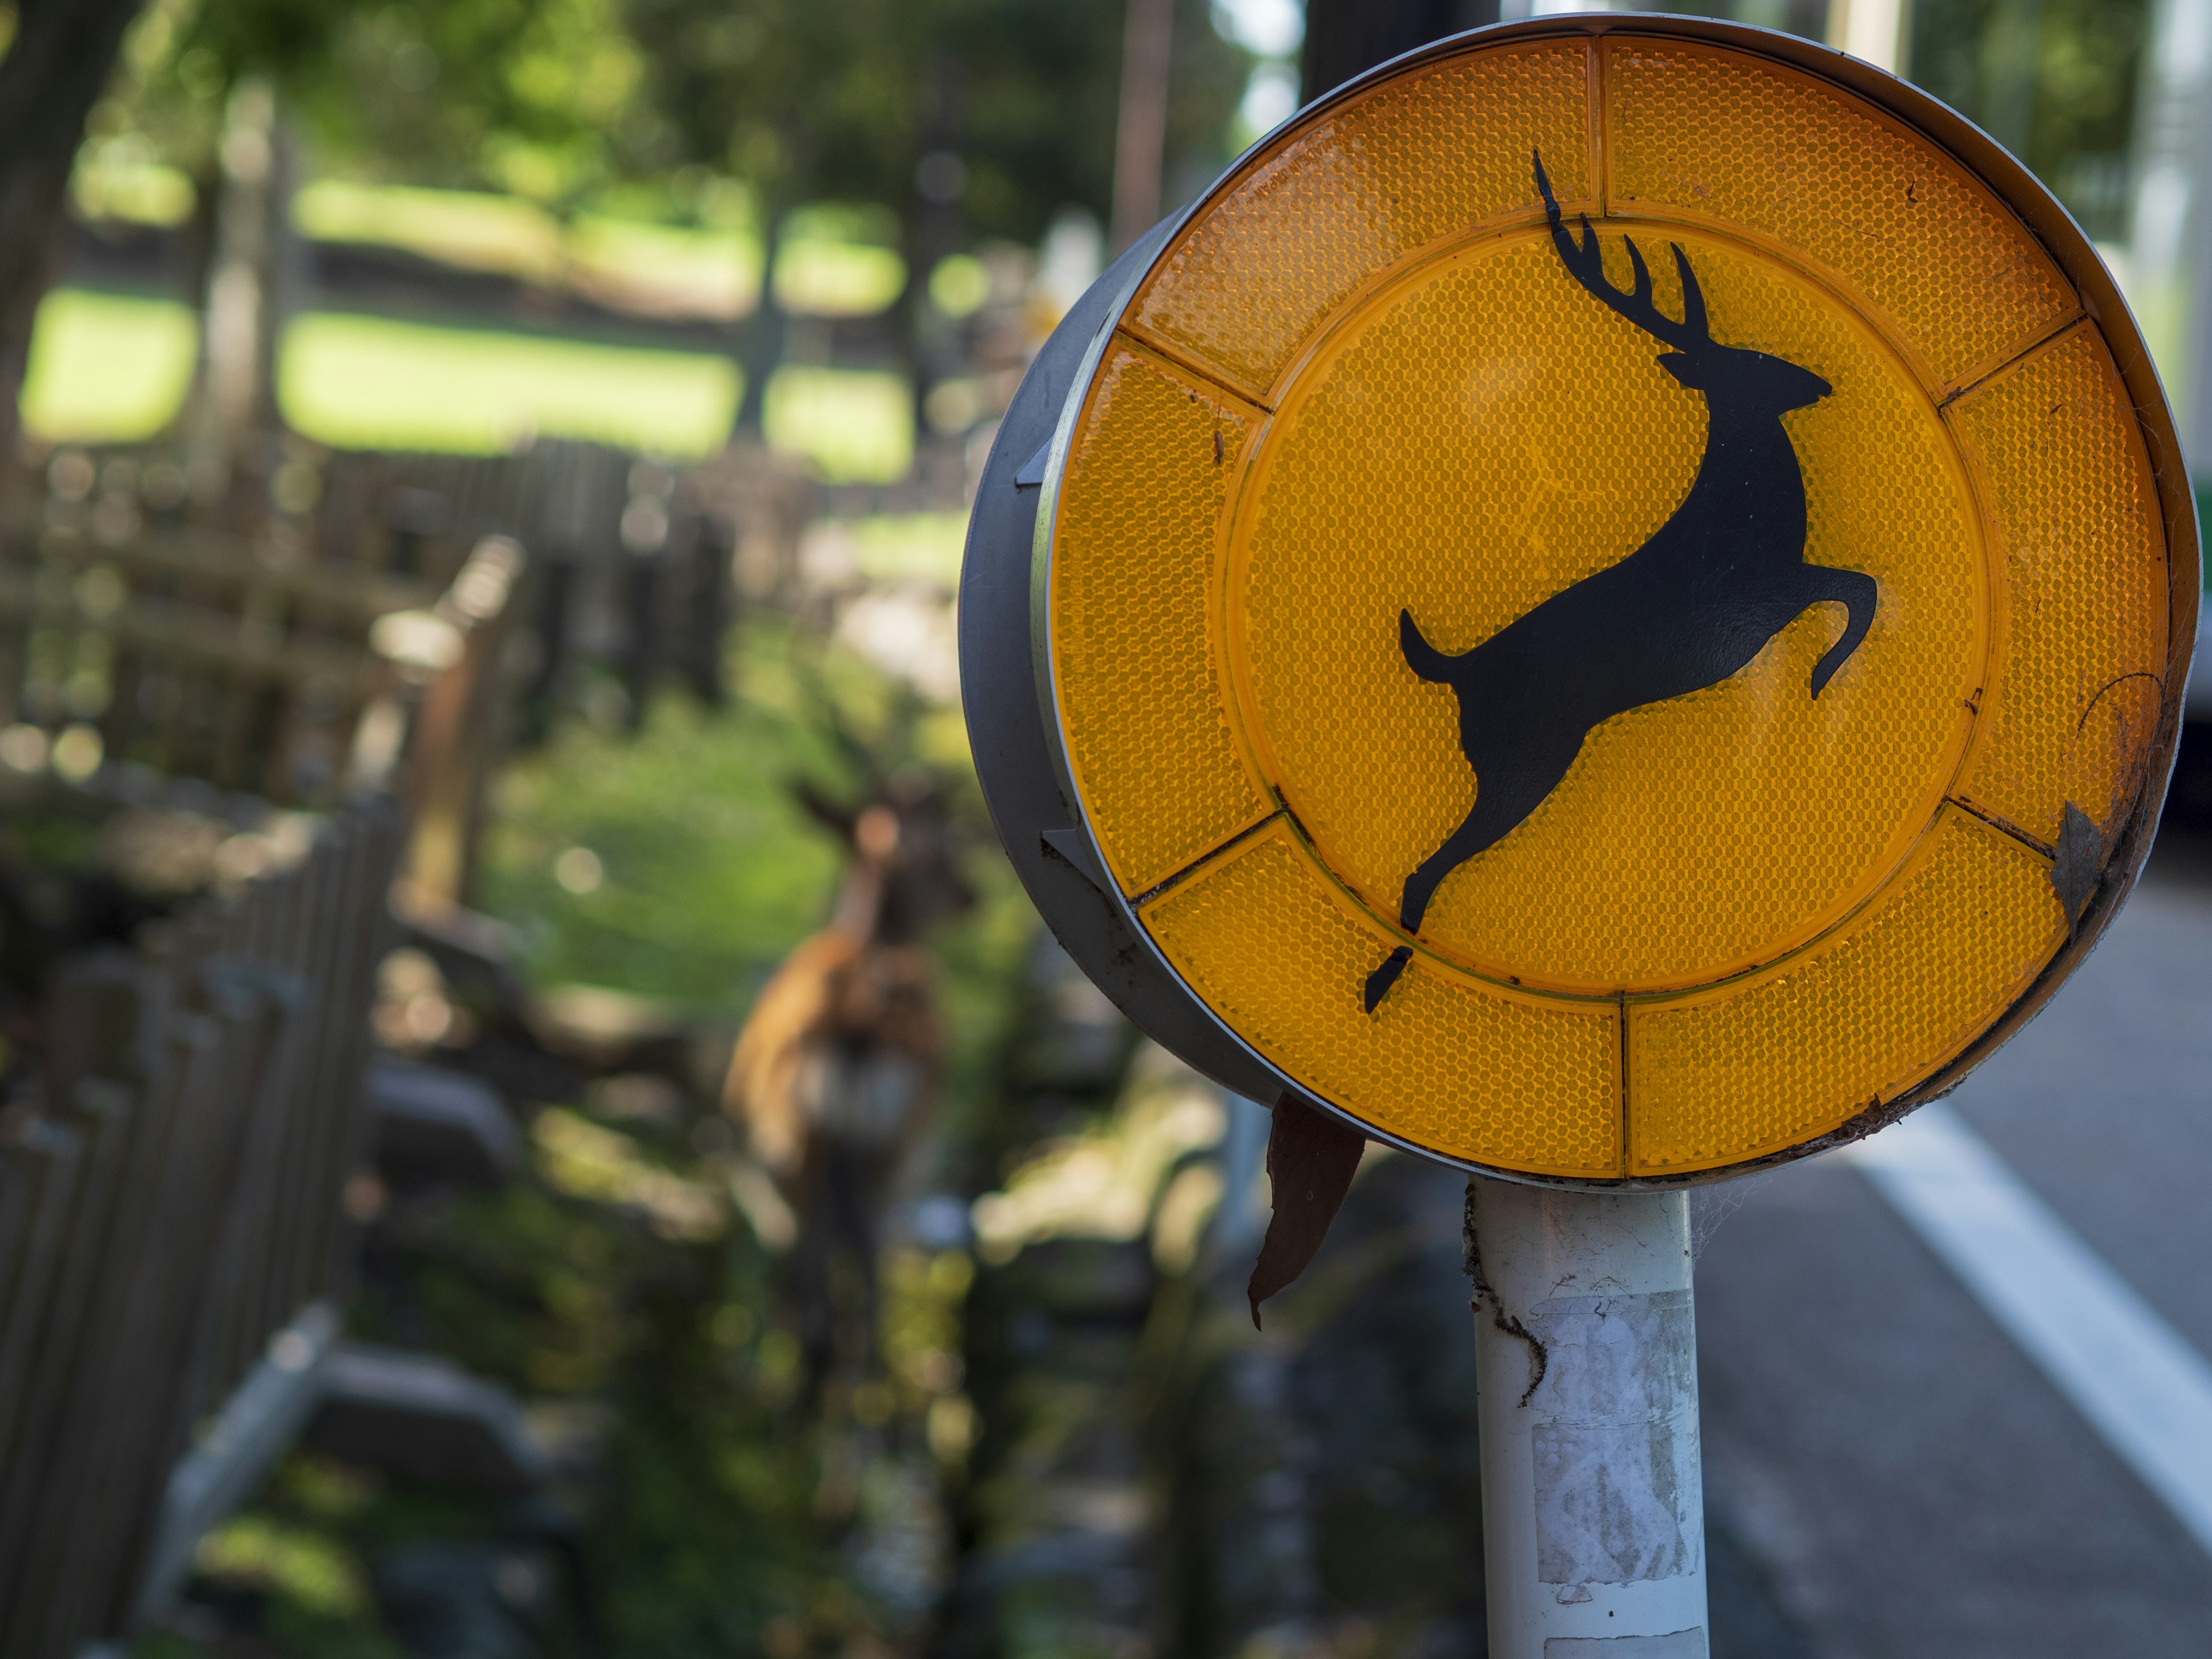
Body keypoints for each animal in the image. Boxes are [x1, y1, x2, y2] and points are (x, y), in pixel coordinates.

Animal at [721, 765, 973, 1407]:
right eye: (940, 847)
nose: (971, 896)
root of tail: (857, 1028)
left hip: (800, 1142)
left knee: (819, 1245)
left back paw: (814, 1378)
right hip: (884, 1150)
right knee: (854, 1243)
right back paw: (849, 1380)